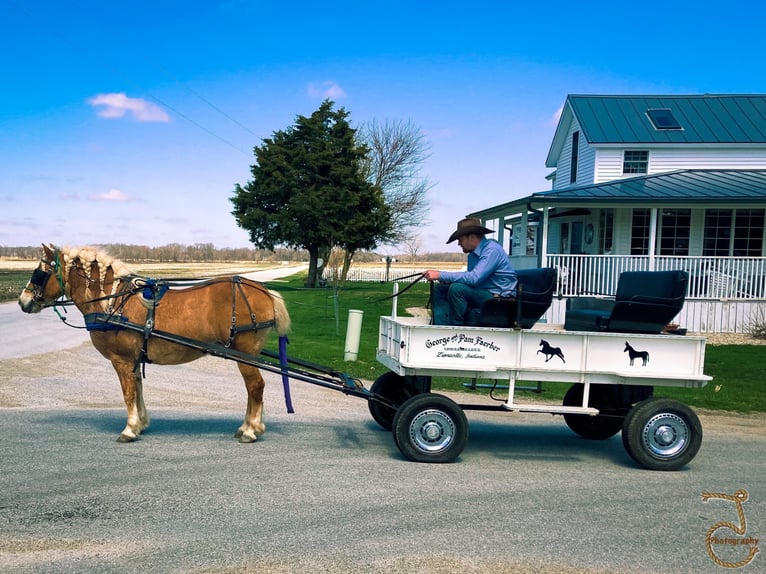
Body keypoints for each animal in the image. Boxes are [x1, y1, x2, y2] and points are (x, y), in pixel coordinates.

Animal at [21, 243, 292, 446]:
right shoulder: (133, 359)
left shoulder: (121, 359)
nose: (23, 301)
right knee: (252, 389)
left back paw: (251, 430)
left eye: (39, 272)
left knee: (255, 387)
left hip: (244, 352)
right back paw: (246, 427)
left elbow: (128, 393)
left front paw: (129, 429)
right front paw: (140, 424)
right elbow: (138, 389)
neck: (112, 301)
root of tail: (264, 291)